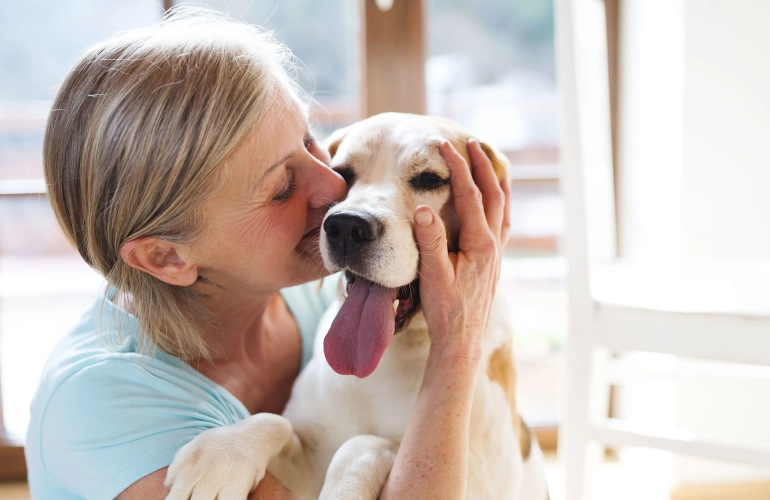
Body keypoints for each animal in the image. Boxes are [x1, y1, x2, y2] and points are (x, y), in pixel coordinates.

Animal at [165, 113, 548, 500]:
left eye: (430, 179)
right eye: (343, 173)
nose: (348, 226)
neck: (385, 361)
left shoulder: (479, 476)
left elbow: (365, 443)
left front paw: (344, 488)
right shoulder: (307, 465)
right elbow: (276, 421)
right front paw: (223, 453)